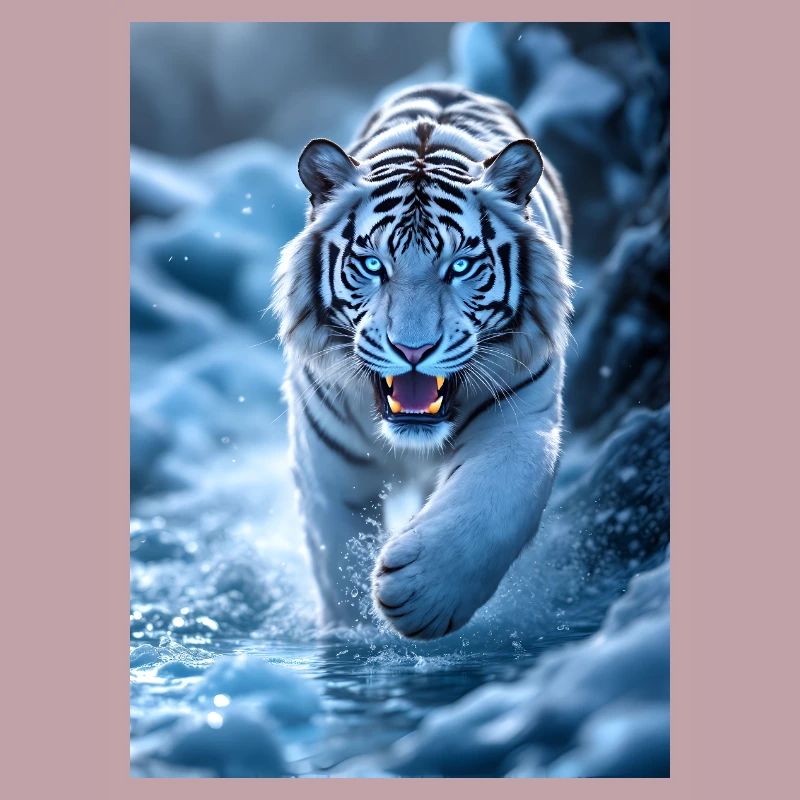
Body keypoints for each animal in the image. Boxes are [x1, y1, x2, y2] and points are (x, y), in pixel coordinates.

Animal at [271, 83, 573, 640]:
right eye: (372, 265)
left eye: (461, 266)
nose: (413, 350)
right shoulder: (327, 464)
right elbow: (336, 562)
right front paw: (353, 635)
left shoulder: (521, 420)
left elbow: (495, 499)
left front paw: (423, 594)